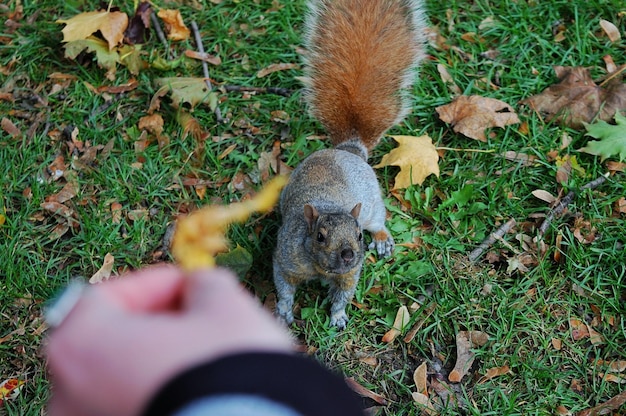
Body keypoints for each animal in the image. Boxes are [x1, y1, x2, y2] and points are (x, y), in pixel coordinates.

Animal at [272, 0, 424, 328]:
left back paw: (382, 240)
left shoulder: (351, 272)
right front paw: (283, 312)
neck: (321, 268)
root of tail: (348, 150)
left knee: (380, 221)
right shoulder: (284, 260)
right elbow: (284, 288)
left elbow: (344, 294)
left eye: (357, 236)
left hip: (373, 206)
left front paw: (338, 317)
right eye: (320, 237)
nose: (347, 254)